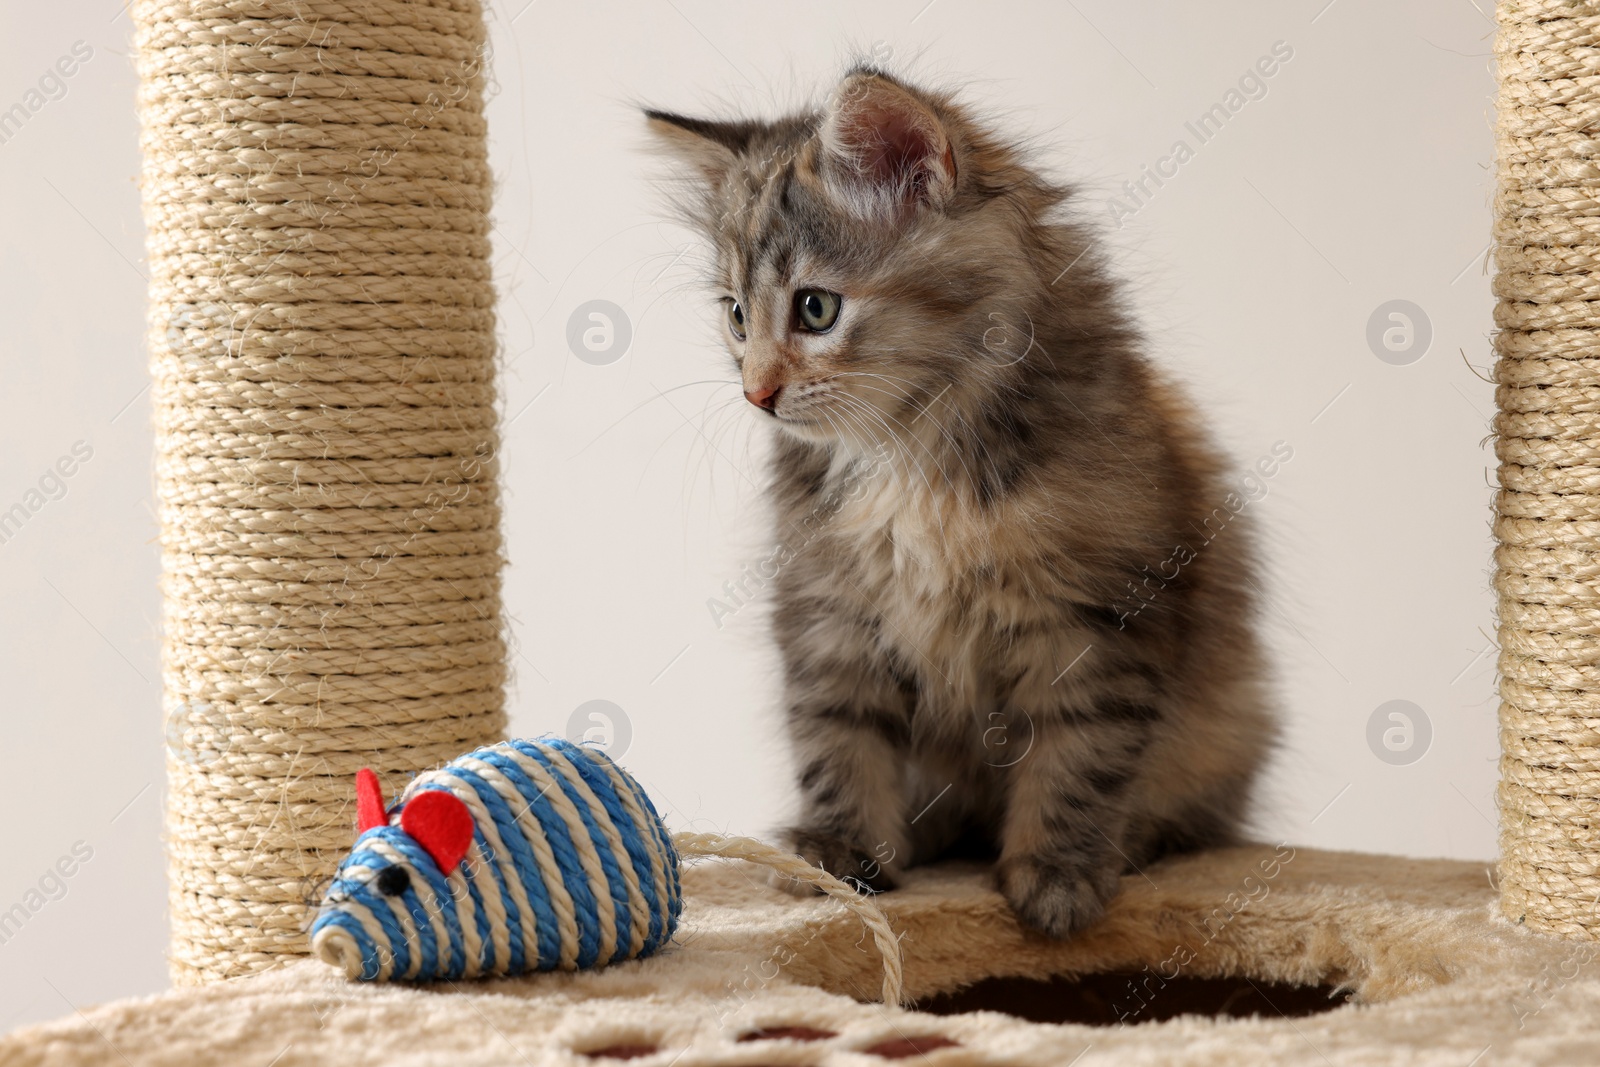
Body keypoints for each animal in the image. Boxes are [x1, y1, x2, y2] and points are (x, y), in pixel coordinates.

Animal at [640, 66, 1273, 940]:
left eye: (814, 308)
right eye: (735, 317)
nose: (756, 393)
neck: (912, 454)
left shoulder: (1098, 616)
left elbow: (1076, 759)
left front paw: (1057, 875)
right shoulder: (829, 610)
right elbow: (837, 739)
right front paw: (841, 854)